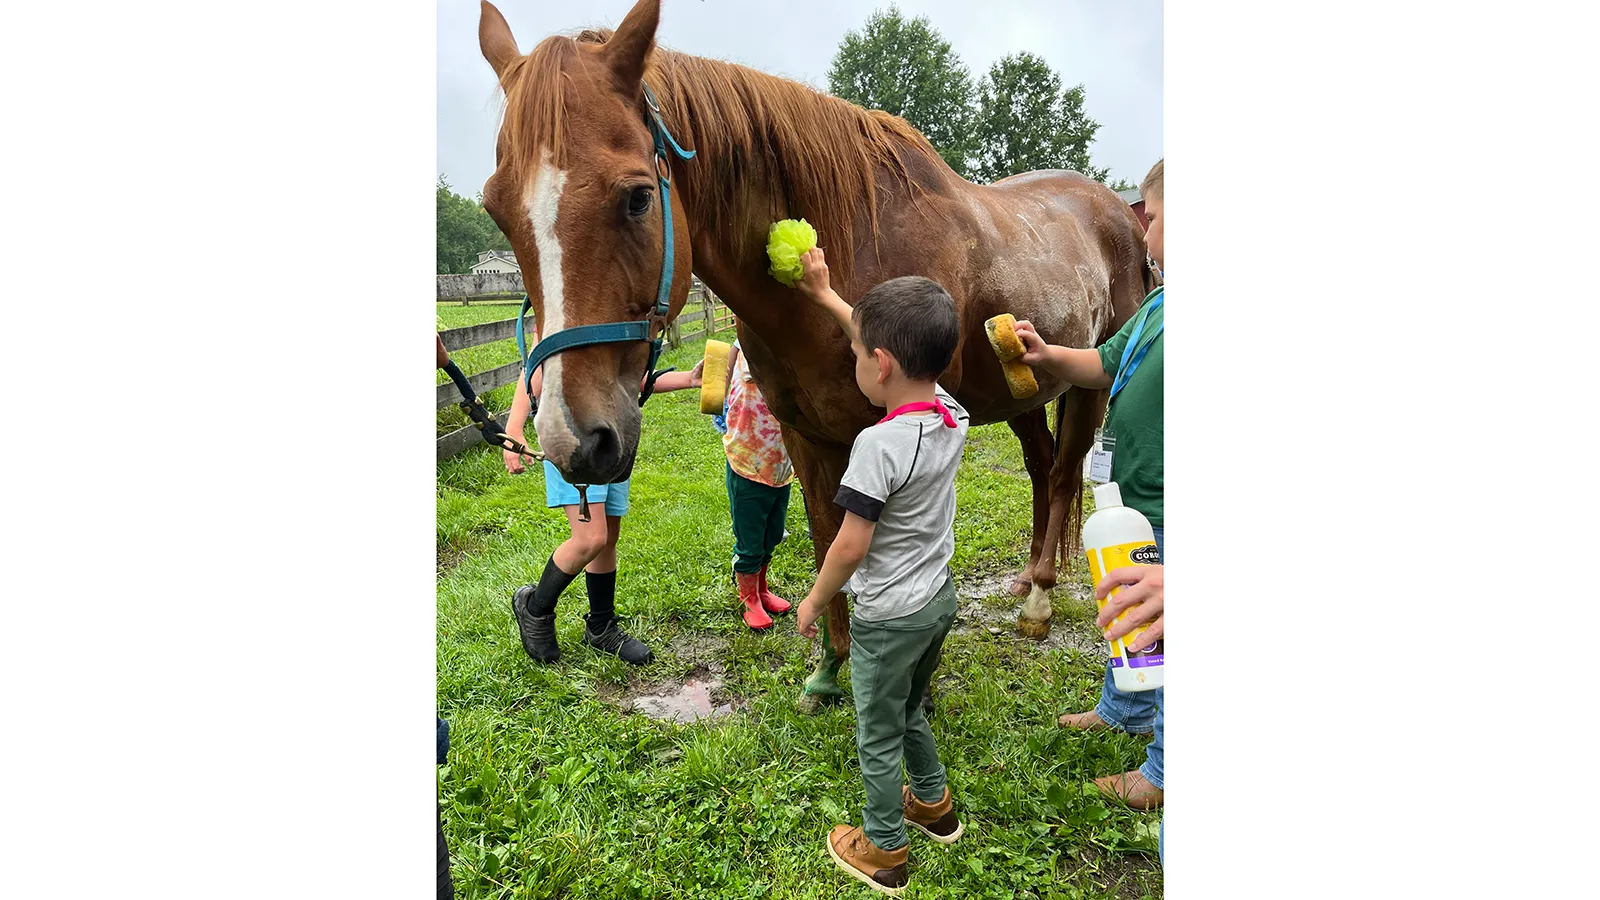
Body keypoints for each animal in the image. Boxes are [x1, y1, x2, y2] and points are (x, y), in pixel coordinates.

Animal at [475, 0, 1154, 711]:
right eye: (497, 209)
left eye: (636, 196)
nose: (572, 439)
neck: (857, 238)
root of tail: (1117, 212)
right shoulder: (808, 436)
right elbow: (830, 542)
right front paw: (832, 670)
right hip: (1023, 390)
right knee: (1042, 469)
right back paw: (1025, 580)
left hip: (1091, 385)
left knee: (1063, 473)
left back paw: (1039, 602)